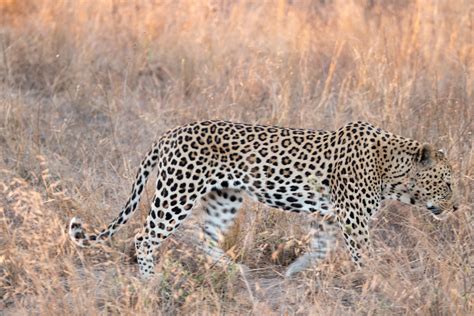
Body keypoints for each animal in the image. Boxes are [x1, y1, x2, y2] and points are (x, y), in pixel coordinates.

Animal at [68, 119, 458, 278]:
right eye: (449, 182)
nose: (456, 207)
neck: (393, 171)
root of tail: (169, 133)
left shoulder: (330, 215)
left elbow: (321, 246)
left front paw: (295, 270)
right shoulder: (353, 217)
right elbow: (363, 253)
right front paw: (378, 277)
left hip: (225, 197)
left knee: (204, 236)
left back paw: (234, 270)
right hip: (177, 192)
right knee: (143, 236)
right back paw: (149, 280)